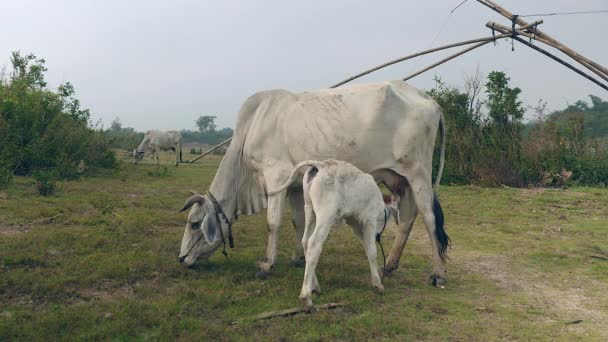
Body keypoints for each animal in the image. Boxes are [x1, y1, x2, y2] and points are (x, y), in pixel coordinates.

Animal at [178, 80, 448, 286]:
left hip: (419, 173)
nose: (181, 259)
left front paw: (267, 264)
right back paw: (389, 265)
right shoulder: (296, 185)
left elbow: (273, 223)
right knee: (408, 217)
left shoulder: (276, 176)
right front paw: (298, 258)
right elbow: (298, 222)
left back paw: (437, 273)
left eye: (194, 224)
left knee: (429, 218)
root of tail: (430, 100)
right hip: (400, 179)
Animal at [268, 160, 402, 310]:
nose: (377, 236)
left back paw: (315, 286)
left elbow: (367, 248)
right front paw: (378, 284)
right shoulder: (369, 220)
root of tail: (320, 165)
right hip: (326, 214)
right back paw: (306, 297)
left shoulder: (357, 225)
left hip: (309, 209)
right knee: (314, 244)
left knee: (305, 241)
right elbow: (372, 251)